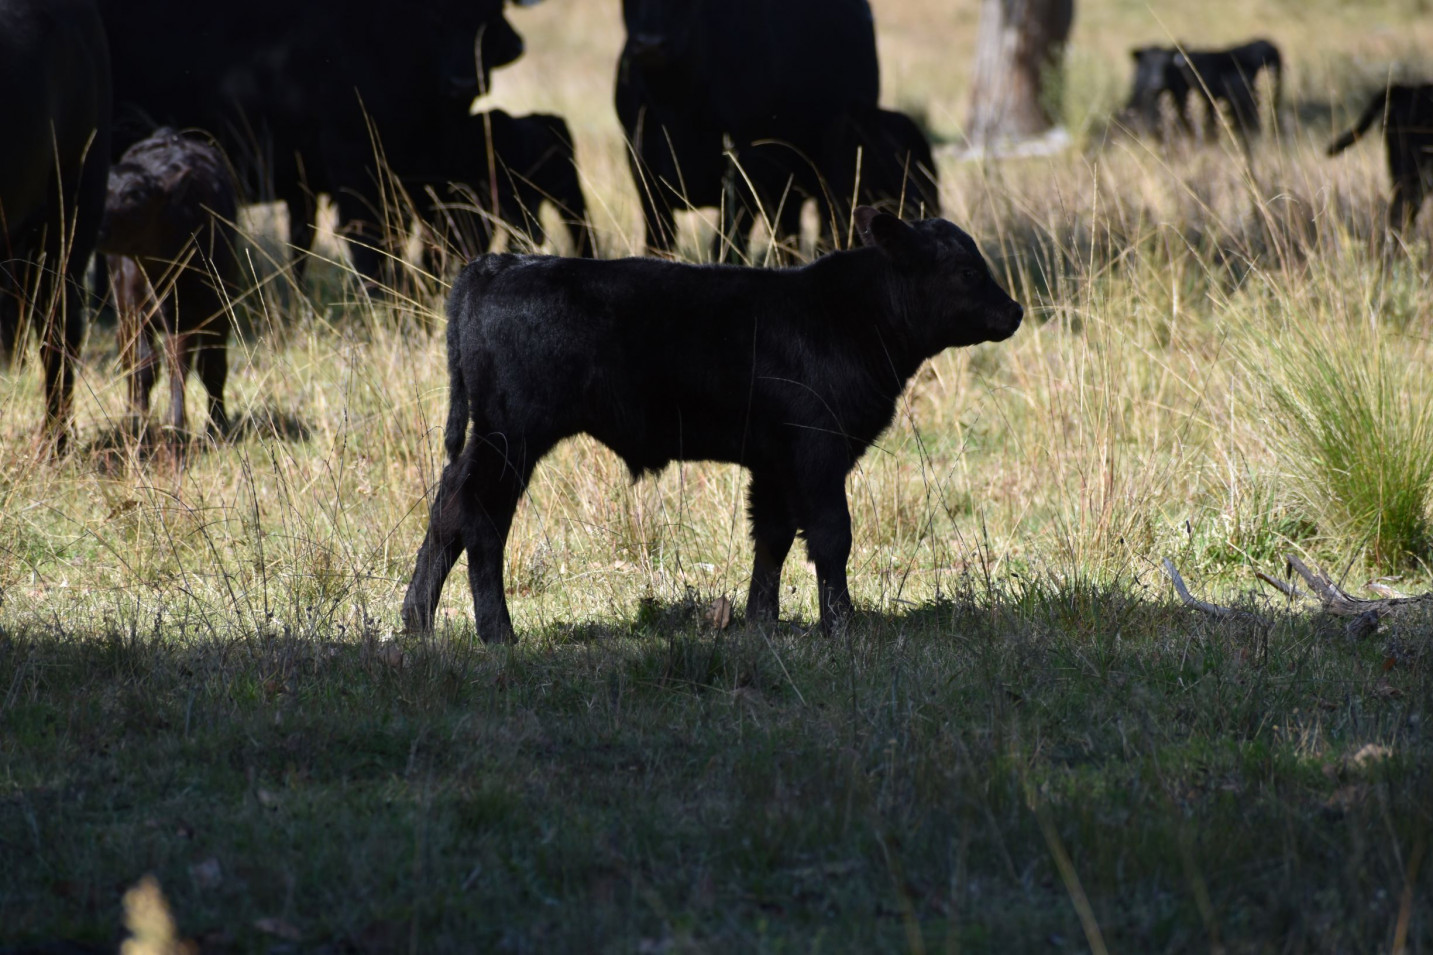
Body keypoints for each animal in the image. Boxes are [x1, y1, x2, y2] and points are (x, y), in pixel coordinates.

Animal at [97, 129, 238, 439]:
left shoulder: (204, 310)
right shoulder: (133, 309)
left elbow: (197, 365)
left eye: (134, 195)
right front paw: (138, 421)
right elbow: (144, 365)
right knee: (131, 358)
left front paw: (197, 424)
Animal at [402, 208, 1023, 643]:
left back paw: (417, 622)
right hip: (512, 434)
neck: (847, 316)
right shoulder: (818, 451)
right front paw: (842, 626)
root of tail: (500, 264)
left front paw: (762, 622)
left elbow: (772, 536)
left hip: (488, 436)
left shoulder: (774, 461)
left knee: (447, 505)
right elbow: (831, 535)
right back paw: (496, 632)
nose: (1014, 311)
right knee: (480, 516)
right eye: (966, 271)